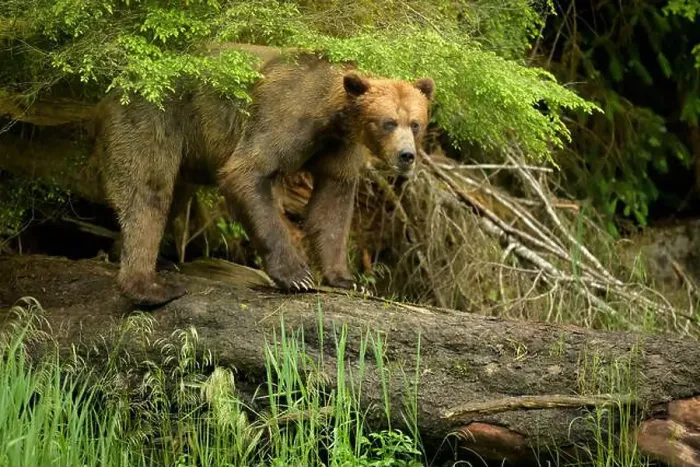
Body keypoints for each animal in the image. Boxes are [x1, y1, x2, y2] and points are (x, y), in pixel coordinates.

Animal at [94, 52, 435, 306]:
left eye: (415, 123)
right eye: (388, 122)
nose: (407, 155)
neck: (330, 117)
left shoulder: (339, 148)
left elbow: (332, 207)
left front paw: (347, 280)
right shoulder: (283, 118)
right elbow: (246, 173)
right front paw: (297, 276)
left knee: (174, 194)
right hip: (154, 117)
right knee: (149, 191)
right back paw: (150, 287)